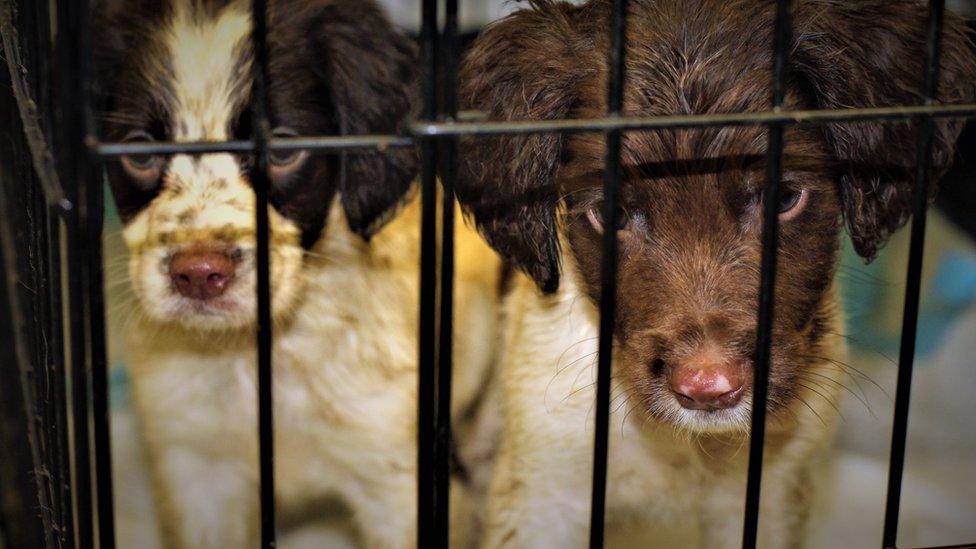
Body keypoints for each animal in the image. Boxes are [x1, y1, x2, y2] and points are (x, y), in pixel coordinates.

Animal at [93, 2, 504, 544]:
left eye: (283, 150)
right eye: (139, 152)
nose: (198, 274)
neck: (254, 357)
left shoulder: (396, 480)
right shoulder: (194, 466)